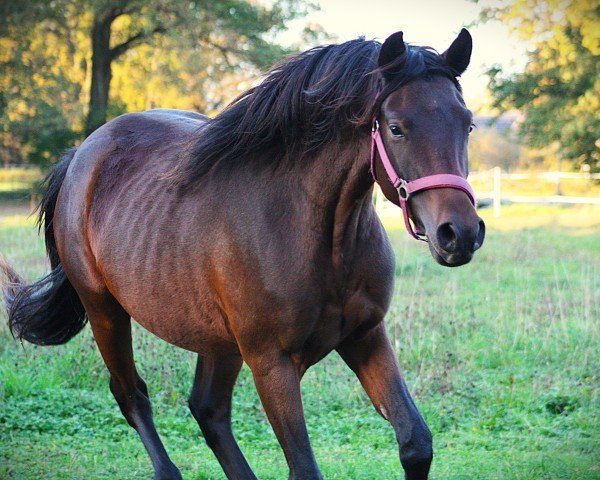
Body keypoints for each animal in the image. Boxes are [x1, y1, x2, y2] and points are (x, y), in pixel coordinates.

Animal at [1, 31, 482, 480]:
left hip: (217, 340)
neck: (319, 237)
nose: (459, 234)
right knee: (132, 395)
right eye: (396, 127)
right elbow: (304, 468)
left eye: (468, 124)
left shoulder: (365, 336)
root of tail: (81, 155)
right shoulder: (272, 364)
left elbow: (415, 443)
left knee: (208, 410)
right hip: (105, 311)